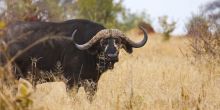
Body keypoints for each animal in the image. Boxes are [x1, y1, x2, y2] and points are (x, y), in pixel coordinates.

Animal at [0, 18, 148, 89]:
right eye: (103, 43)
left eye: (118, 42)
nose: (112, 56)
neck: (90, 55)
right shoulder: (71, 83)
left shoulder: (93, 84)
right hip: (10, 77)